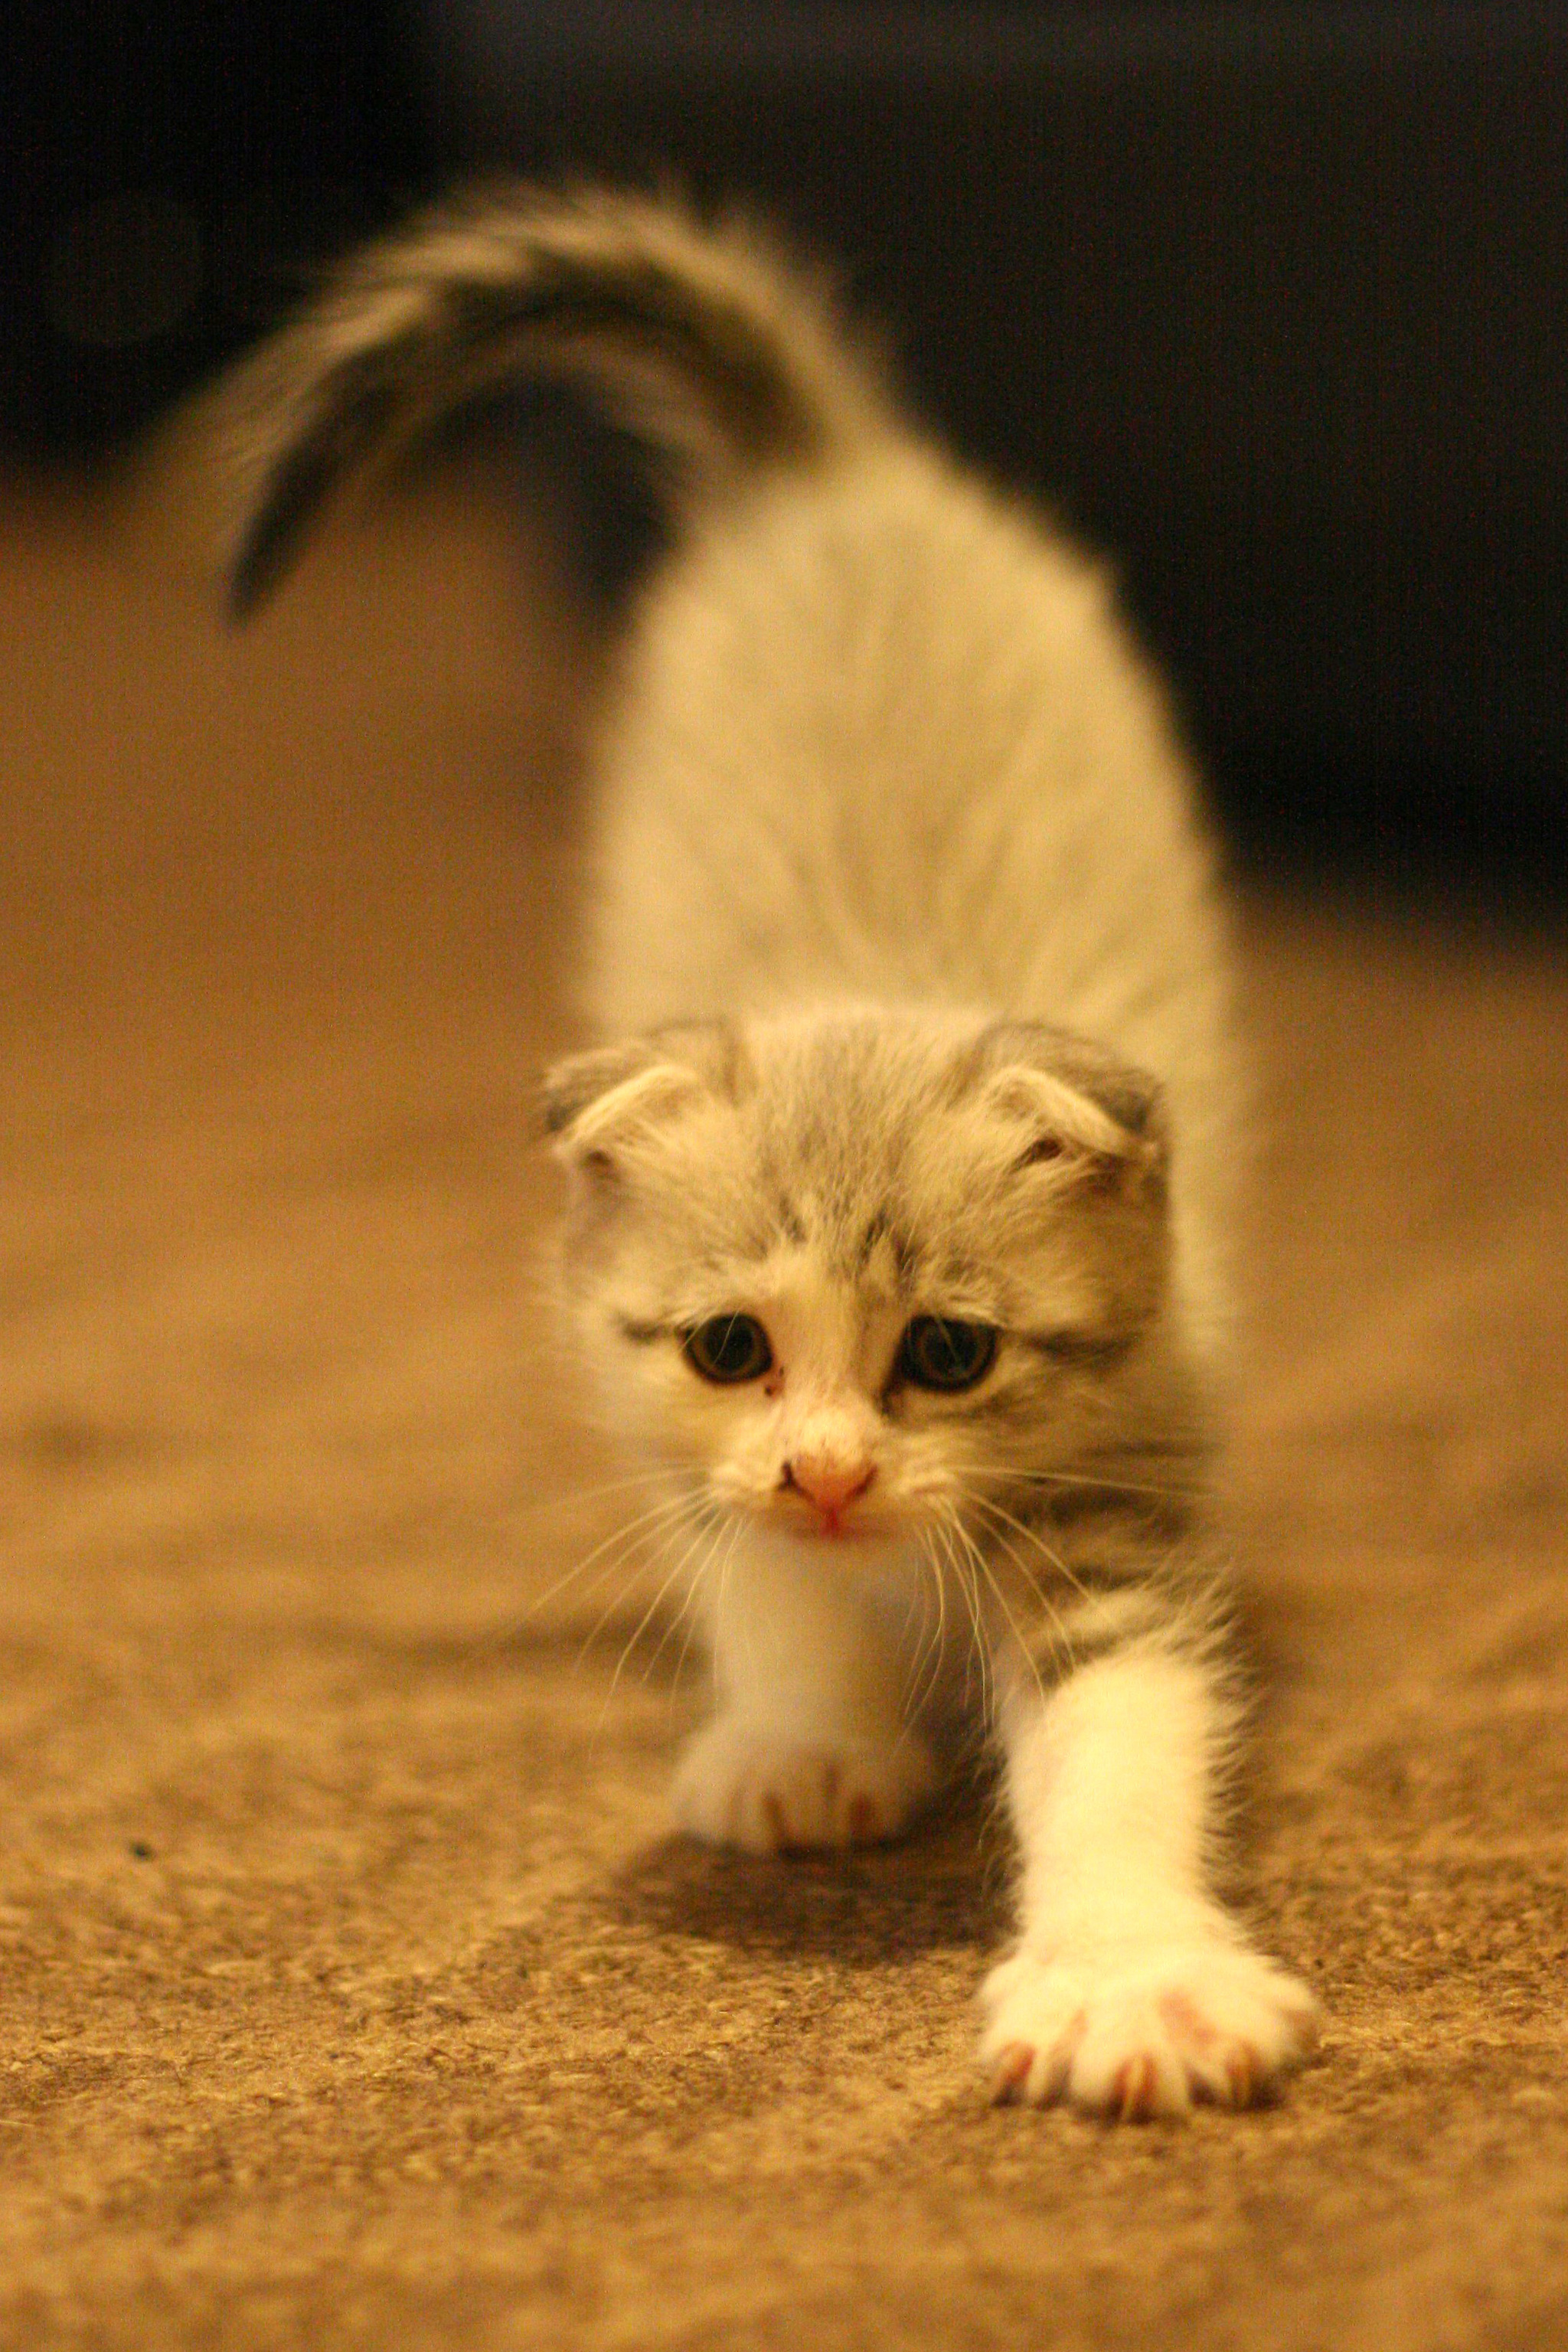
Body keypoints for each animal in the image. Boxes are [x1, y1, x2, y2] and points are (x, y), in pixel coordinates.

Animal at [217, 192, 1325, 2126]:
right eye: (734, 1346)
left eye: (946, 1352)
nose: (826, 1472)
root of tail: (832, 469)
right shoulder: (669, 1424)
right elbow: (757, 1576)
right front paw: (809, 1736)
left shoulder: (1117, 1482)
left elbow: (1118, 1735)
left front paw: (1129, 1974)